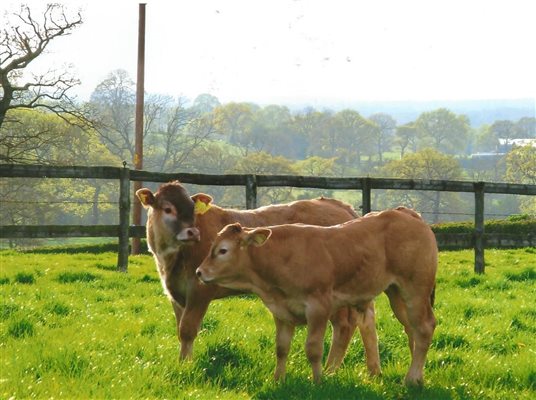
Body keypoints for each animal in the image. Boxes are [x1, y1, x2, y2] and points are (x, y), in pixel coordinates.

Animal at [138, 181, 382, 376]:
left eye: (192, 210)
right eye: (168, 209)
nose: (193, 232)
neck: (172, 258)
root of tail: (340, 206)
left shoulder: (199, 292)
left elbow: (187, 330)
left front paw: (185, 365)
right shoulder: (177, 296)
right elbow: (180, 331)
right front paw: (183, 363)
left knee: (345, 325)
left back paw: (331, 370)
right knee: (364, 320)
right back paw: (369, 370)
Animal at [198, 206, 440, 384]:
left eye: (223, 251)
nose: (200, 272)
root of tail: (405, 213)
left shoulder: (318, 307)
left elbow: (313, 348)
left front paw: (318, 380)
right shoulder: (281, 312)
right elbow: (281, 348)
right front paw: (278, 379)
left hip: (415, 289)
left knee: (424, 326)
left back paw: (412, 379)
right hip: (397, 293)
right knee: (413, 329)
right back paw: (417, 376)